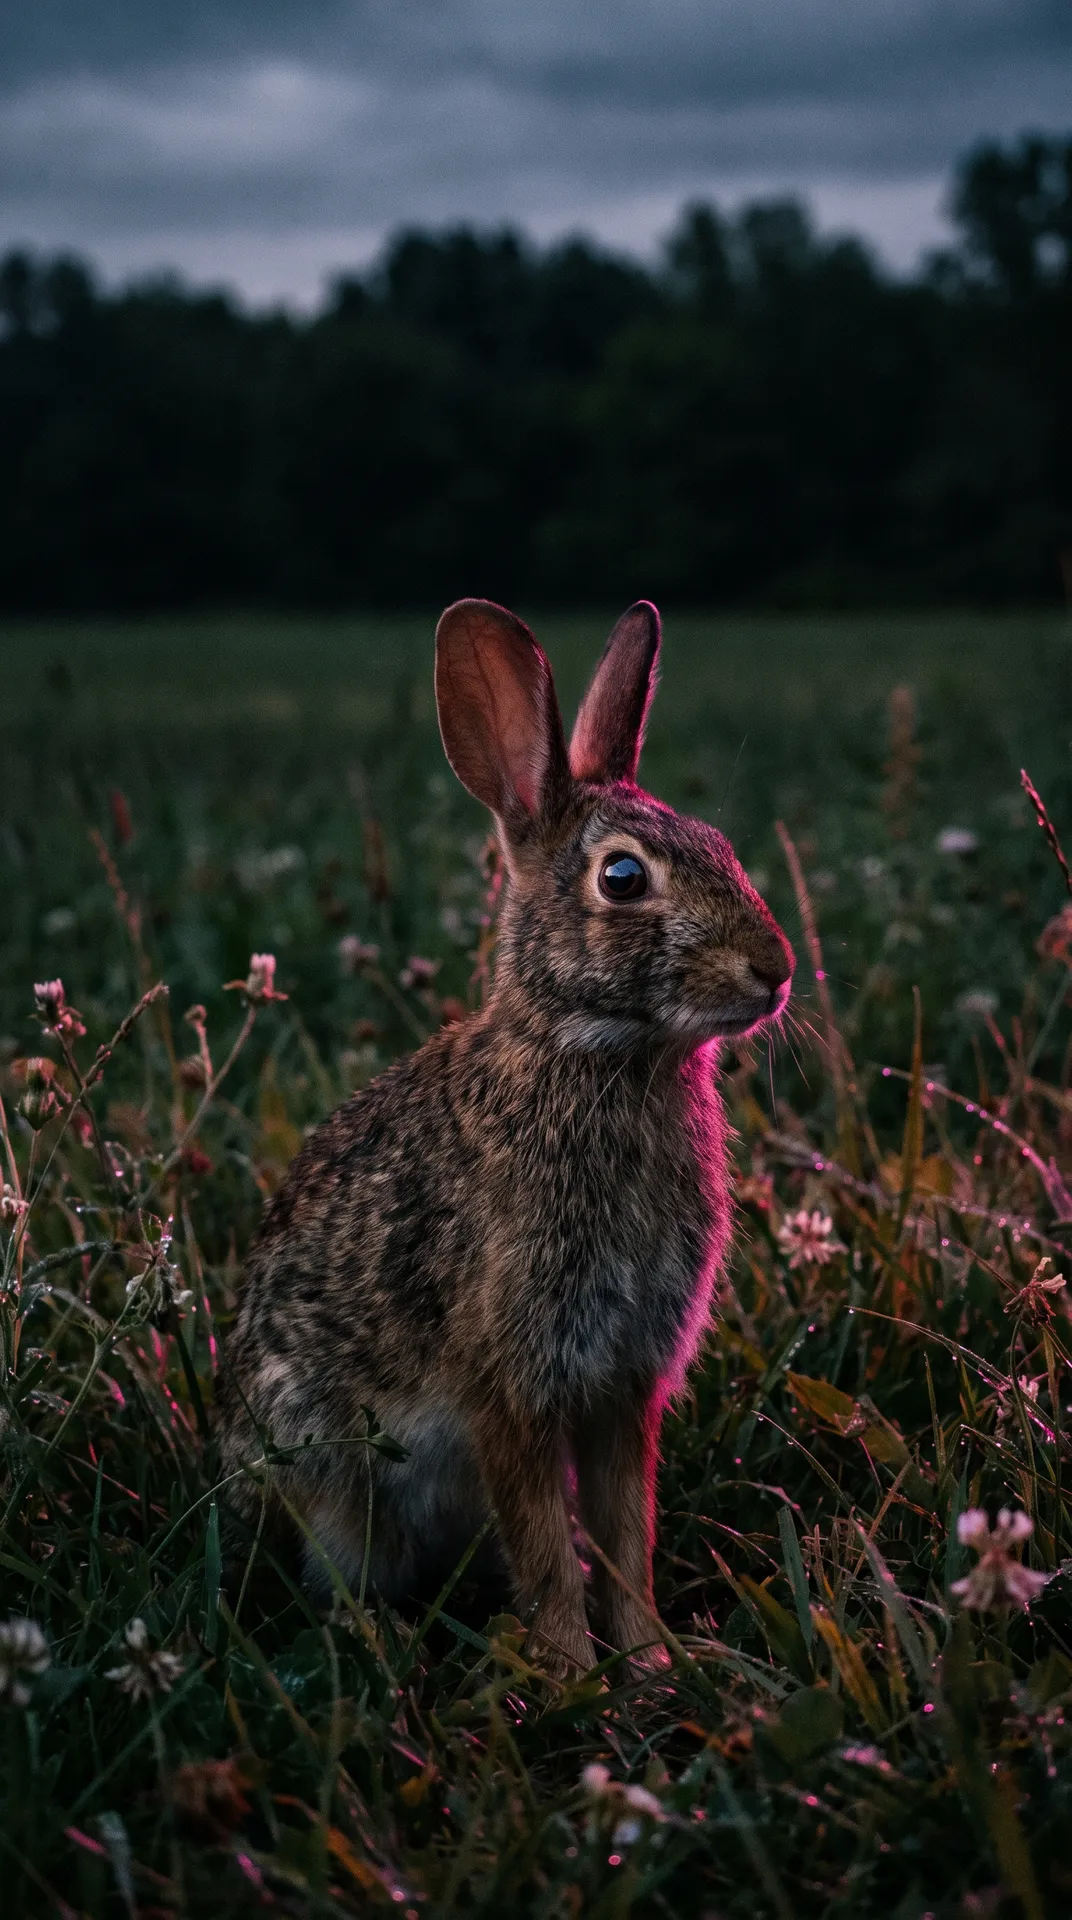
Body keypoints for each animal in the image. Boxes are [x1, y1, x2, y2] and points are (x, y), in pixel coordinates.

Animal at [216, 598, 793, 1674]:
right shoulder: (511, 1386)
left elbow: (622, 1535)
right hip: (327, 1477)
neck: (599, 1053)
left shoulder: (623, 1384)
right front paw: (573, 1673)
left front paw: (648, 1664)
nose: (775, 970)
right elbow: (548, 1550)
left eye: (721, 843)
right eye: (623, 877)